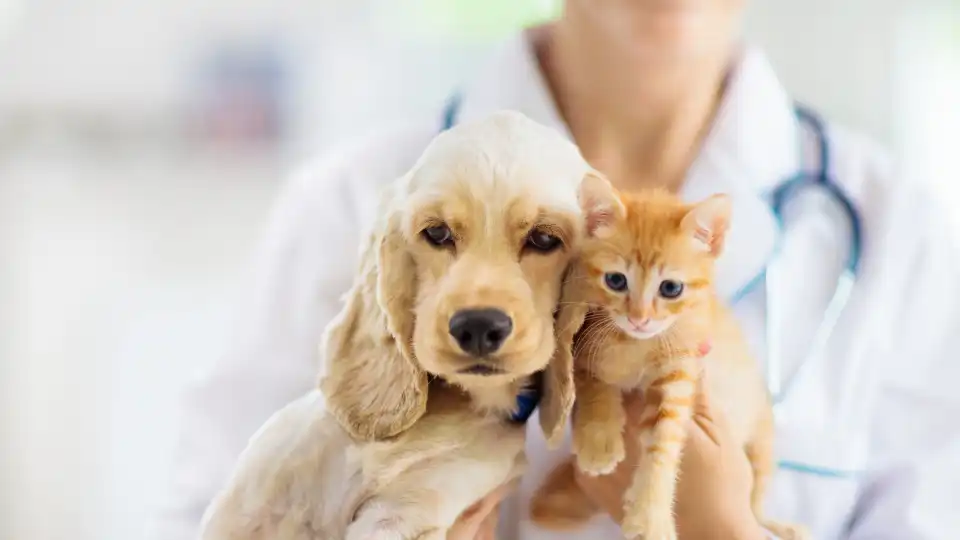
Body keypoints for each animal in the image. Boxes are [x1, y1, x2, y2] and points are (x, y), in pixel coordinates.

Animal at [528, 178, 808, 540]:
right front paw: (598, 440)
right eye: (616, 280)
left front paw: (650, 518)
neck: (635, 343)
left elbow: (664, 443)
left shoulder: (680, 371)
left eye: (671, 288)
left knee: (756, 504)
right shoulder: (586, 340)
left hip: (760, 442)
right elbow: (593, 383)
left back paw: (786, 527)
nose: (639, 319)